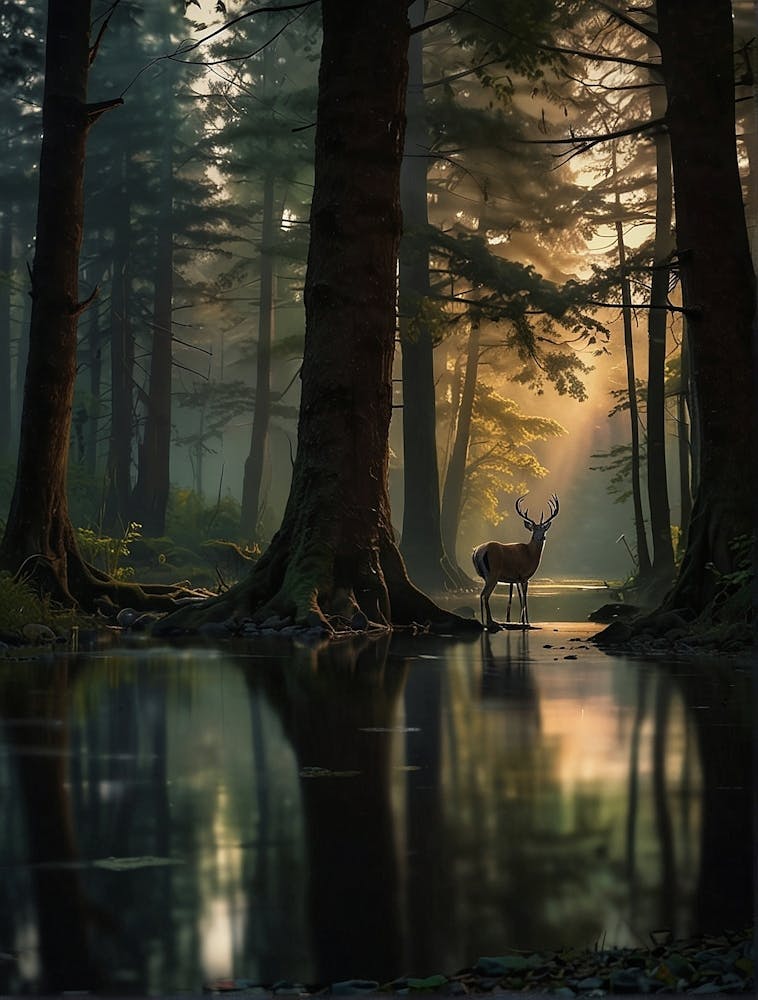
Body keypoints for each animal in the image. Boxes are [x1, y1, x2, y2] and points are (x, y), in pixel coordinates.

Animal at [472, 494, 559, 630]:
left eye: (544, 530)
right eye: (534, 530)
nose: (541, 537)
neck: (530, 555)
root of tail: (477, 551)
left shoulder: (514, 579)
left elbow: (515, 598)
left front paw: (520, 621)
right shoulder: (524, 576)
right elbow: (524, 598)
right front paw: (526, 622)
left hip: (485, 575)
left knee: (481, 594)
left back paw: (485, 622)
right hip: (493, 573)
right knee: (485, 595)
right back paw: (492, 622)